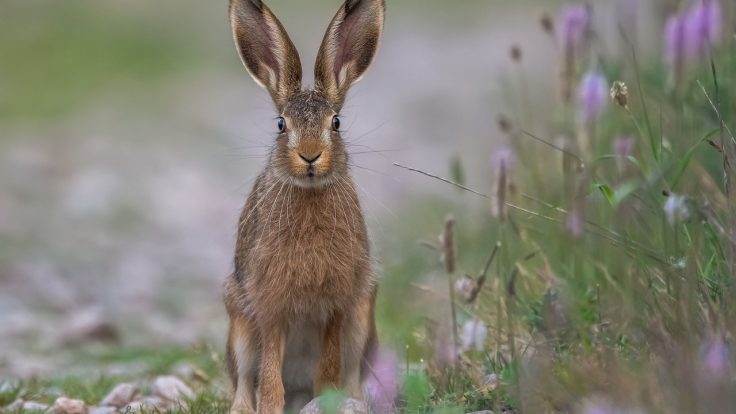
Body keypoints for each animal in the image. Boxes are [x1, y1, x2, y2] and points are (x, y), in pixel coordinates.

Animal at [223, 0, 386, 414]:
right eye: (281, 124)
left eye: (336, 123)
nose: (309, 155)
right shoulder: (270, 306)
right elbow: (268, 371)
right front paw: (270, 406)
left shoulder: (337, 305)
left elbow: (328, 365)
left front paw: (327, 400)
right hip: (238, 323)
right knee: (243, 378)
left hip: (362, 319)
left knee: (351, 373)